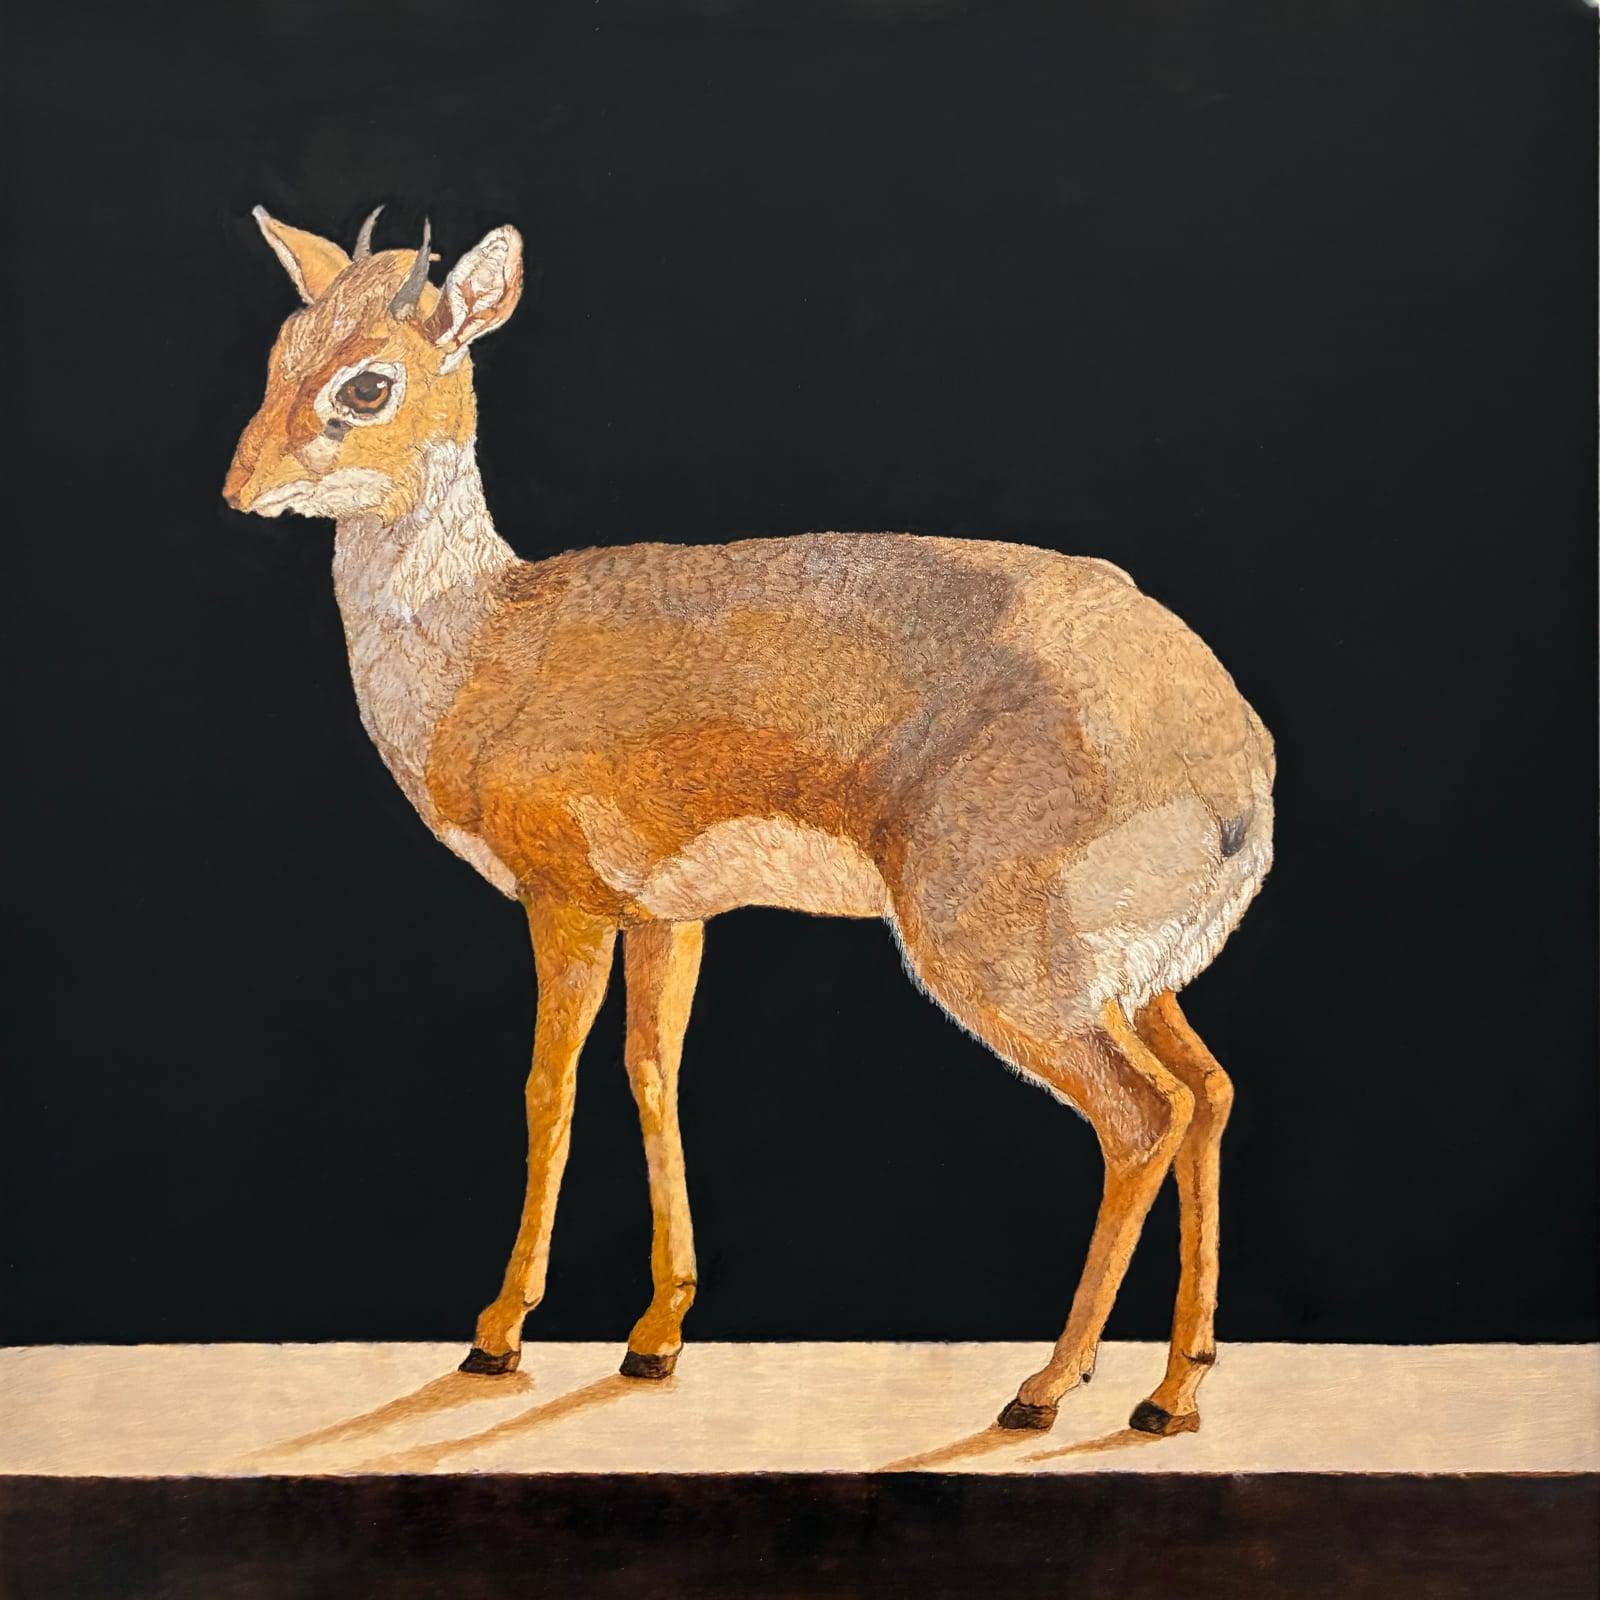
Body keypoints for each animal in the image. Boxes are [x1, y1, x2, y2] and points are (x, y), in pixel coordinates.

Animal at [224, 207, 1274, 1437]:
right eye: (281, 349)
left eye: (368, 382)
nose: (239, 488)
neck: (483, 643)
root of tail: (1235, 761)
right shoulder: (666, 914)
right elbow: (652, 1071)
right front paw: (656, 1334)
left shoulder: (563, 901)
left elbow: (548, 1086)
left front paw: (497, 1334)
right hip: (1129, 979)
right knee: (1210, 1095)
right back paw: (1170, 1394)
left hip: (1007, 970)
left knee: (1142, 1117)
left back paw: (1045, 1389)